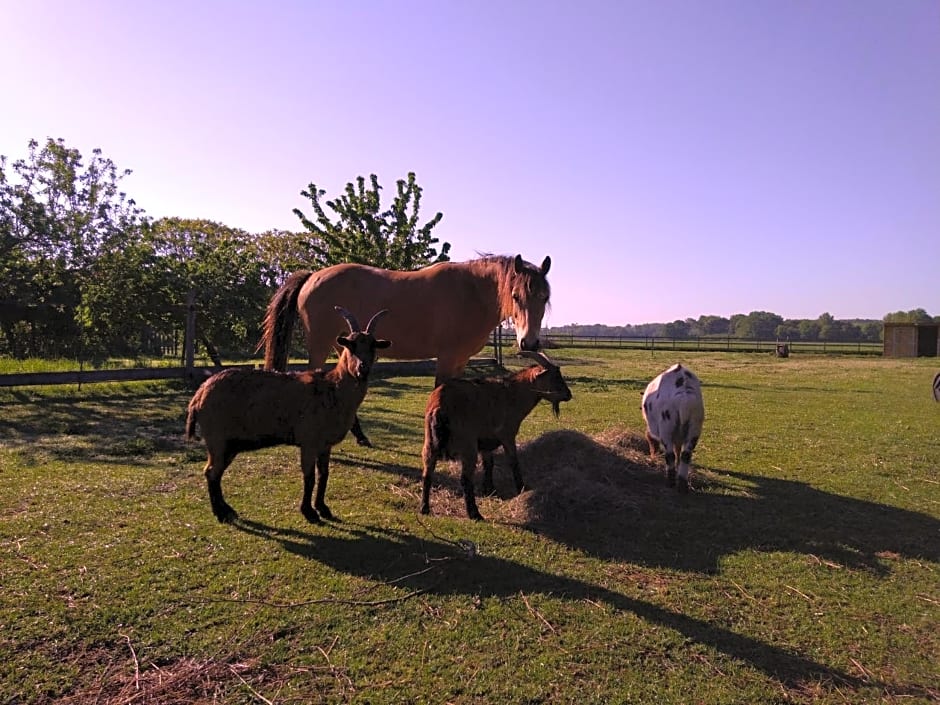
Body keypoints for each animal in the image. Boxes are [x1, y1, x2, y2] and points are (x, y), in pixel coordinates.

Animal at [185, 306, 392, 524]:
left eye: (373, 346)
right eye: (351, 345)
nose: (363, 368)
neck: (333, 388)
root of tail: (198, 395)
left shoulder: (324, 445)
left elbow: (324, 474)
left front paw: (323, 508)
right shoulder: (309, 441)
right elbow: (309, 477)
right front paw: (309, 512)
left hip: (229, 444)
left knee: (214, 472)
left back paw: (227, 510)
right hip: (218, 439)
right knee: (211, 472)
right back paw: (221, 513)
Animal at [258, 254, 552, 446]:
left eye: (544, 297)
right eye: (515, 296)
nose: (529, 343)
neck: (471, 293)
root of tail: (313, 276)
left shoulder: (460, 360)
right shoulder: (447, 358)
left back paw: (361, 437)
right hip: (320, 345)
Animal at [420, 350, 572, 520]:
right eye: (554, 377)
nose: (568, 395)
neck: (511, 395)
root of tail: (440, 406)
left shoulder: (485, 443)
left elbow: (489, 464)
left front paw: (490, 490)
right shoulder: (507, 435)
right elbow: (513, 461)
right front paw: (522, 488)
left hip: (429, 444)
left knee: (427, 474)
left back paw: (424, 508)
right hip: (467, 445)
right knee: (465, 479)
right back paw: (474, 514)